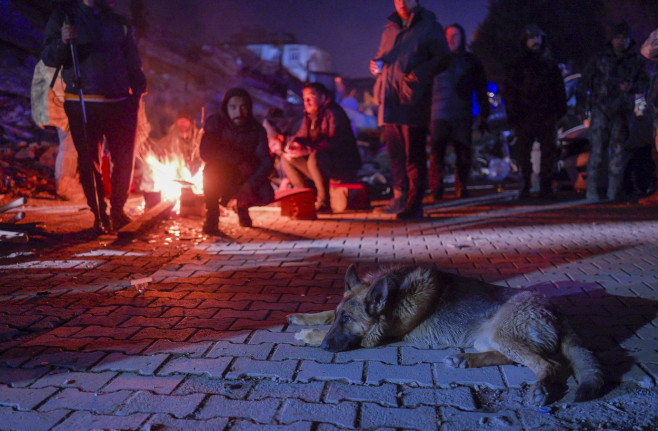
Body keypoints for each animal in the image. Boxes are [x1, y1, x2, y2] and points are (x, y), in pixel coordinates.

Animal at [284, 264, 604, 406]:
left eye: (348, 320)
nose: (326, 347)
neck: (396, 297)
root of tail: (558, 311)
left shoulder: (377, 336)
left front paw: (310, 334)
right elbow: (325, 312)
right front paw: (304, 317)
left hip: (503, 334)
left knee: (550, 364)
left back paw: (540, 388)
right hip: (490, 337)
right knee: (513, 358)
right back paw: (465, 360)